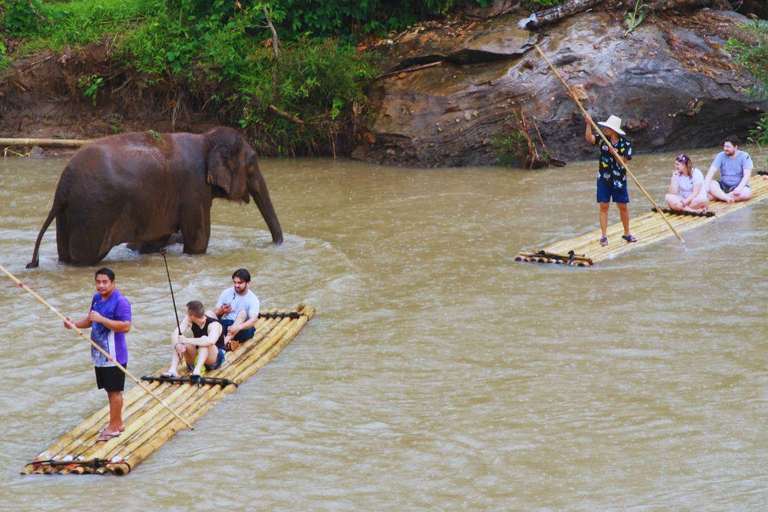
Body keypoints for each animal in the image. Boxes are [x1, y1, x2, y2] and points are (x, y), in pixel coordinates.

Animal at [27, 127, 286, 268]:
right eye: (253, 164)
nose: (275, 244)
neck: (206, 139)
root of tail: (64, 184)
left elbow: (155, 240)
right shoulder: (194, 189)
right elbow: (198, 239)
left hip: (69, 212)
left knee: (66, 255)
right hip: (92, 211)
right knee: (85, 257)